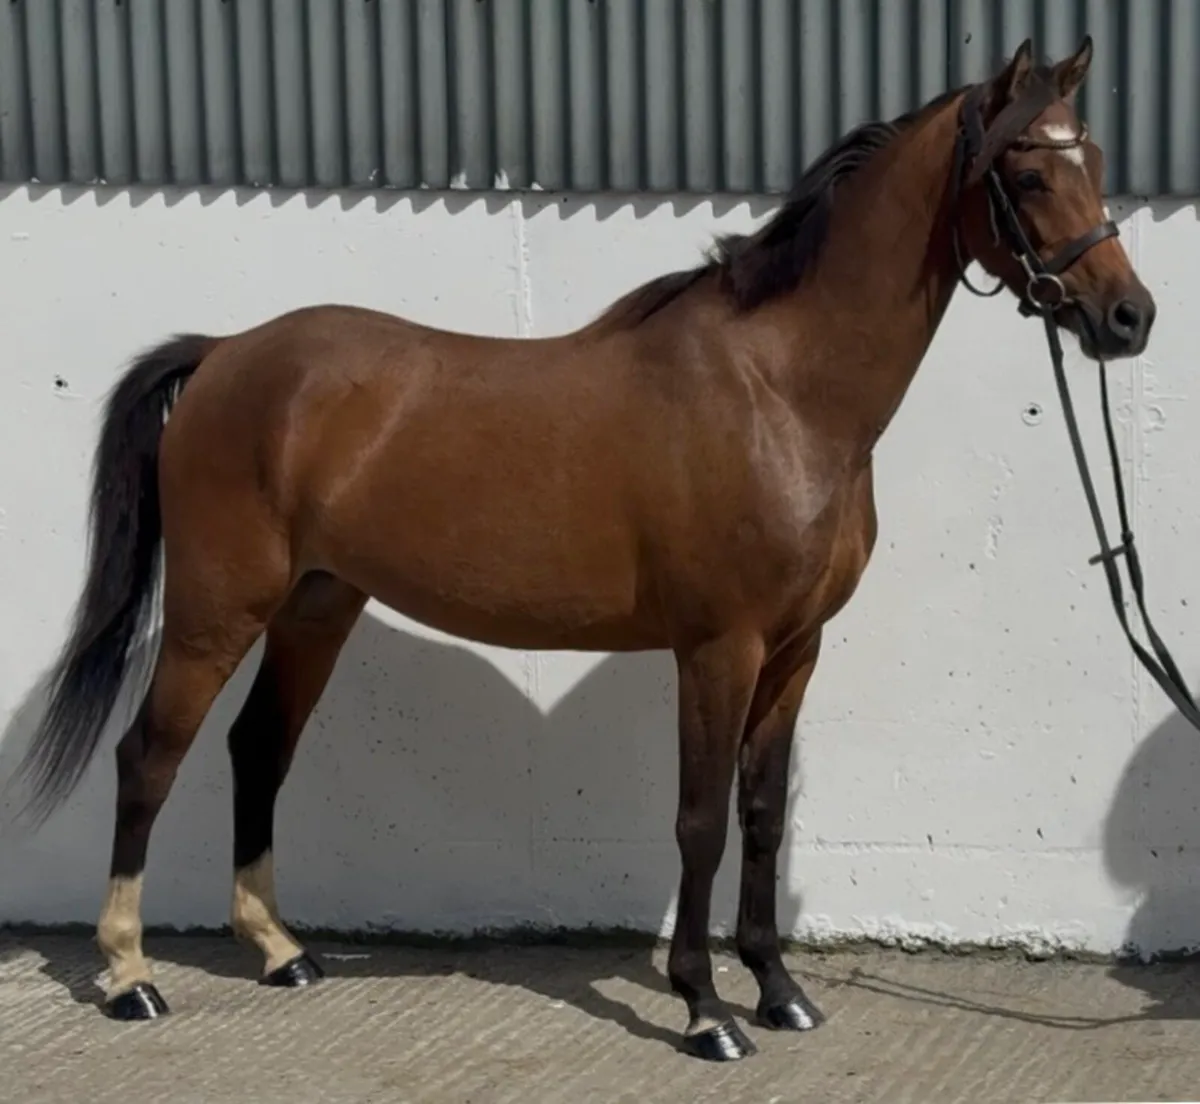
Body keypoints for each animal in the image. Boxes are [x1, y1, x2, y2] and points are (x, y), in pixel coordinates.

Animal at [10, 36, 1153, 1062]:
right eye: (1028, 170)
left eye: (1095, 160)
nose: (1128, 318)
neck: (781, 390)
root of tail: (223, 356)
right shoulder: (720, 649)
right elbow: (699, 820)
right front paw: (706, 1011)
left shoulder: (795, 650)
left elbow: (763, 813)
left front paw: (778, 990)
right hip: (218, 610)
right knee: (150, 756)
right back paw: (129, 974)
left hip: (316, 605)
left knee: (258, 748)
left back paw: (281, 951)